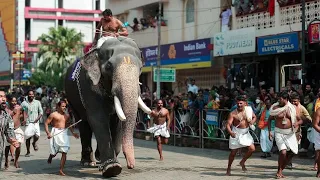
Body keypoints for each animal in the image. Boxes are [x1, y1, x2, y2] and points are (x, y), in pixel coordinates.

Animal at [64, 37, 152, 177]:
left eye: (140, 67)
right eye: (109, 67)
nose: (131, 165)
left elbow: (118, 122)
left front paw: (107, 163)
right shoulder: (89, 86)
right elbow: (98, 118)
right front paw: (112, 168)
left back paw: (97, 159)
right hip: (72, 99)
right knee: (84, 123)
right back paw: (88, 162)